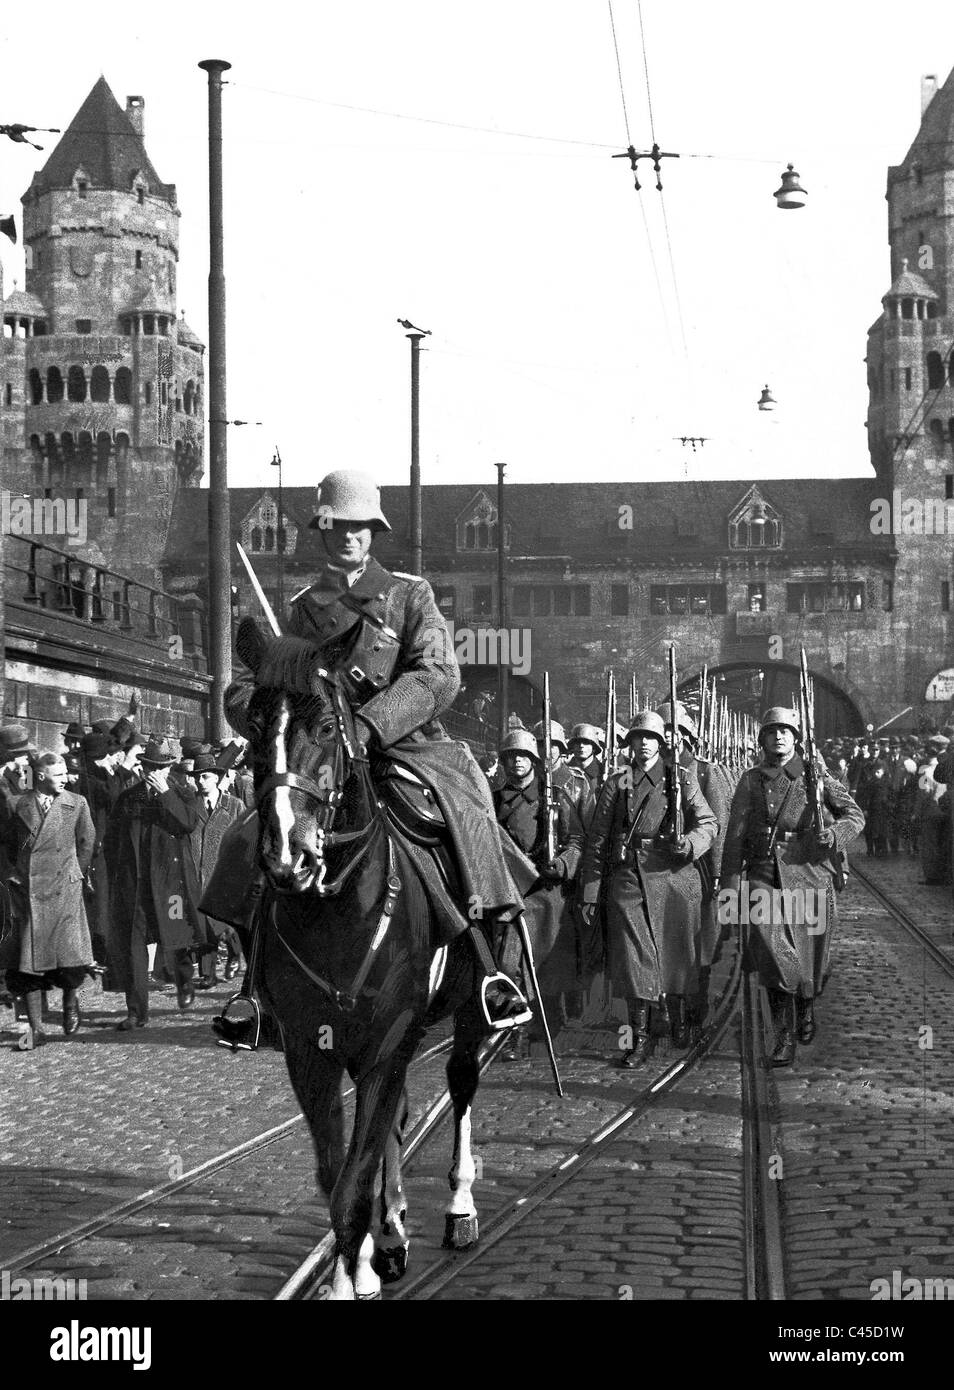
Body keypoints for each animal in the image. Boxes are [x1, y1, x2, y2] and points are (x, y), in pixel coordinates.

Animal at [233, 633, 531, 1301]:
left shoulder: (385, 1045)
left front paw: (352, 1276)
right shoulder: (312, 1054)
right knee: (395, 1123)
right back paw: (390, 1239)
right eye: (254, 724)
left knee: (460, 1084)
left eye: (327, 725)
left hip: (466, 1012)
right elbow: (338, 1176)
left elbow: (352, 1186)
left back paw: (459, 1210)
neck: (338, 909)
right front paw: (358, 1269)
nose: (287, 854)